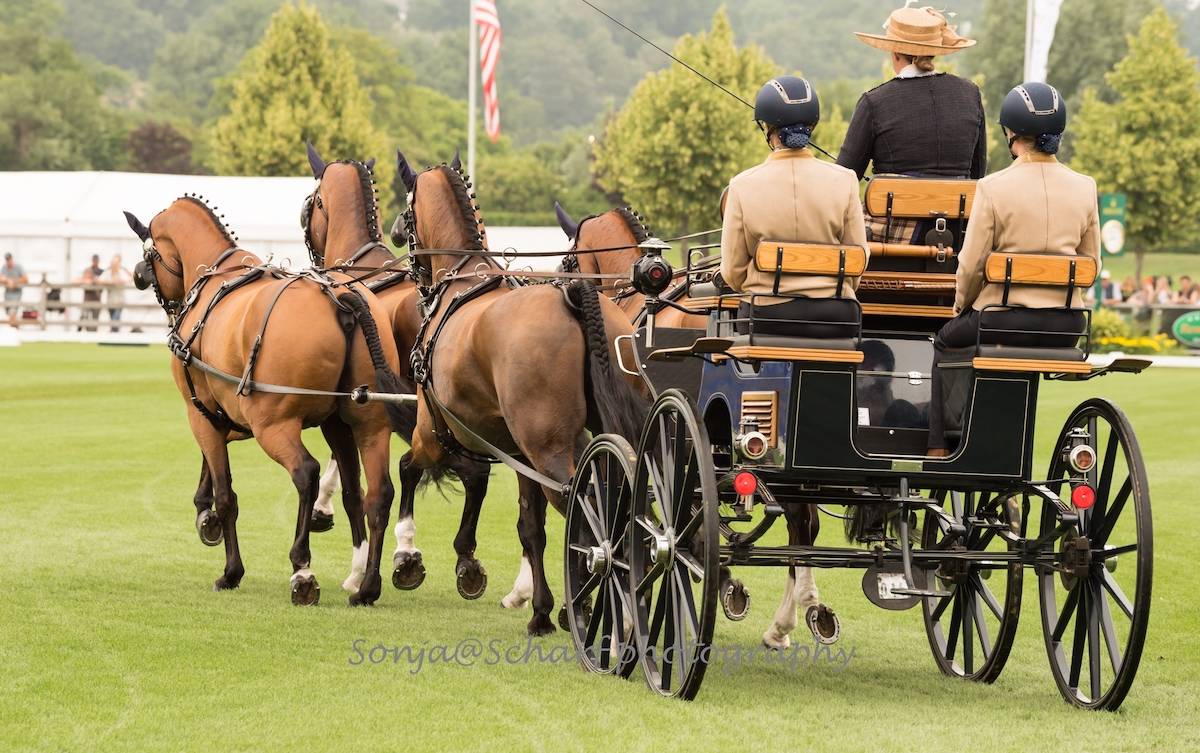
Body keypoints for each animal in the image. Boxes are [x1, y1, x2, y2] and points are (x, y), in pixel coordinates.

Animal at [122, 196, 406, 607]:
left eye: (150, 252)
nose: (138, 275)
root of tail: (340, 297)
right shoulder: (254, 415)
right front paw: (205, 513)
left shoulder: (201, 414)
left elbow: (226, 494)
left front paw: (230, 568)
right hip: (364, 422)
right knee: (374, 493)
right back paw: (366, 585)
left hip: (273, 426)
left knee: (306, 473)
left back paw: (302, 570)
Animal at [396, 151, 648, 635]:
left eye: (407, 209)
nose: (399, 235)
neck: (462, 281)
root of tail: (571, 298)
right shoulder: (517, 454)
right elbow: (531, 526)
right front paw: (542, 609)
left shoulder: (434, 433)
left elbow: (408, 469)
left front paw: (406, 558)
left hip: (548, 449)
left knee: (583, 507)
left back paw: (602, 606)